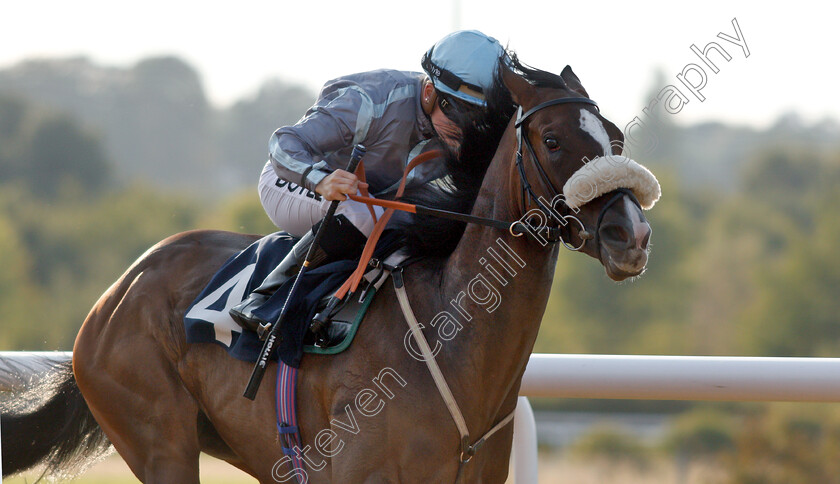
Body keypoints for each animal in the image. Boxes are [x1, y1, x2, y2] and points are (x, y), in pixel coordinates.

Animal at [0, 60, 656, 484]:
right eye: (552, 139)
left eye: (615, 138)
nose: (631, 235)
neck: (450, 345)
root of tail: (116, 291)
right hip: (160, 439)